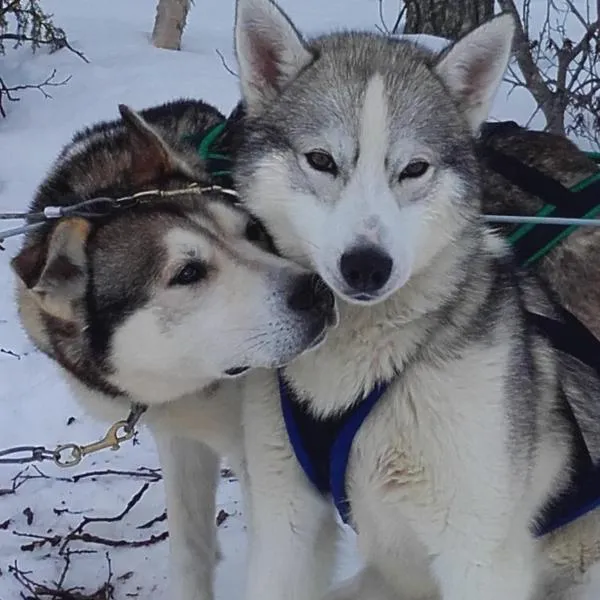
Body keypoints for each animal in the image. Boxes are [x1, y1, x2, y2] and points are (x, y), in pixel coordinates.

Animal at [10, 98, 338, 600]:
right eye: (187, 273)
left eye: (253, 231)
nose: (319, 292)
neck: (195, 384)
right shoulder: (180, 437)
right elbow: (189, 548)